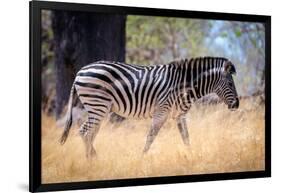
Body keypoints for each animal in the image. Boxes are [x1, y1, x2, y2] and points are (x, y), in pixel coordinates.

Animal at [59, 56, 238, 158]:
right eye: (230, 83)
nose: (237, 104)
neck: (185, 86)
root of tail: (80, 71)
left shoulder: (179, 115)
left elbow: (186, 138)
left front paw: (192, 156)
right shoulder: (162, 112)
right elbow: (150, 137)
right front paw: (142, 159)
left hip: (99, 108)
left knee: (90, 134)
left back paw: (93, 160)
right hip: (98, 105)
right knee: (84, 131)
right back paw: (93, 160)